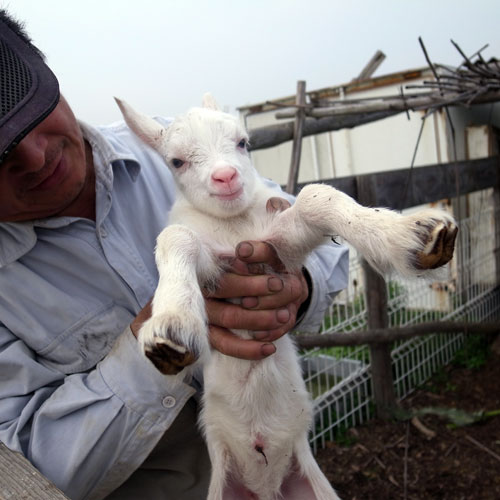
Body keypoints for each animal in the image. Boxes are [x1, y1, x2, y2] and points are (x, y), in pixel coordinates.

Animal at [116, 94, 458, 500]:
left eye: (243, 142)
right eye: (176, 161)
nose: (226, 177)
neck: (234, 226)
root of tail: (265, 488)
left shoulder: (280, 249)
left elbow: (315, 197)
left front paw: (410, 236)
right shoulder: (215, 263)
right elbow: (175, 236)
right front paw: (172, 325)